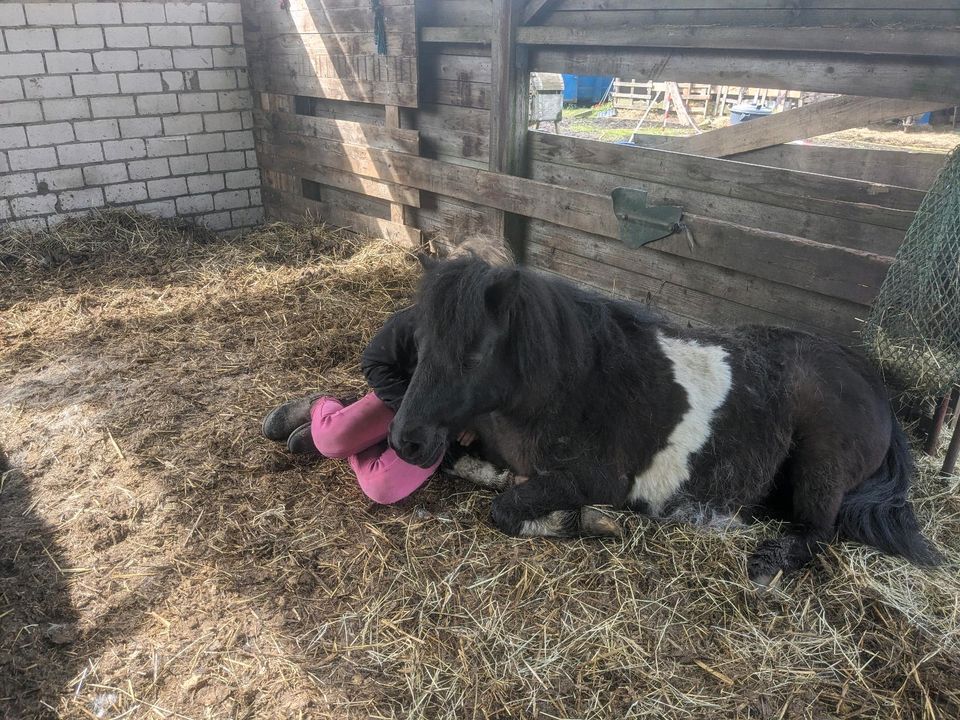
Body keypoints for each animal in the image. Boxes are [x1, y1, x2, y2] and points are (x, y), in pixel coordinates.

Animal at [392, 258, 944, 584]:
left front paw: (581, 521)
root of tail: (873, 383)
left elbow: (507, 509)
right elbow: (471, 466)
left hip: (822, 464)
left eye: (476, 354)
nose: (406, 441)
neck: (572, 386)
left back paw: (768, 562)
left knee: (819, 531)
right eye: (418, 340)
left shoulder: (597, 480)